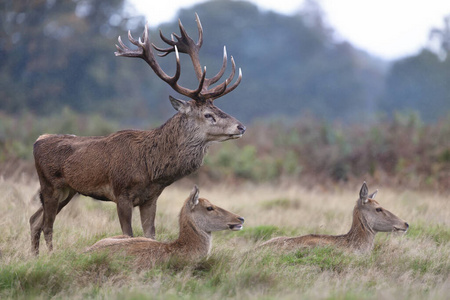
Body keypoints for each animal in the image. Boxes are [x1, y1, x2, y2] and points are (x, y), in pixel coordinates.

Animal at [30, 14, 246, 253]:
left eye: (219, 108)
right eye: (208, 114)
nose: (241, 127)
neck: (150, 168)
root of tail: (38, 139)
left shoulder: (151, 198)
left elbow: (150, 234)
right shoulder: (121, 193)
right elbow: (128, 234)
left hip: (68, 190)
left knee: (34, 220)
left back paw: (35, 257)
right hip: (49, 185)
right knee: (47, 225)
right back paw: (49, 255)